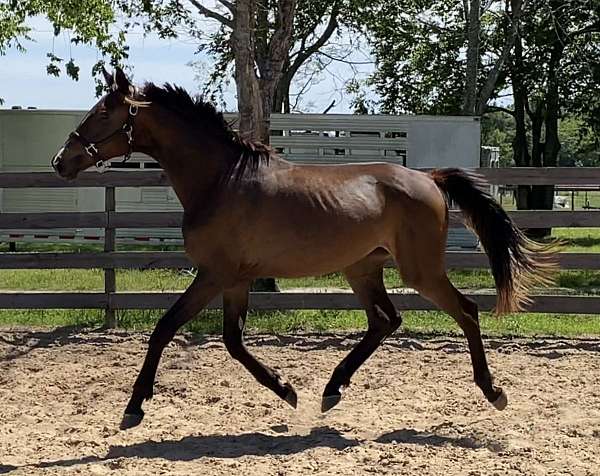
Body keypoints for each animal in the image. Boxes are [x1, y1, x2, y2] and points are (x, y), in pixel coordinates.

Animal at [51, 68, 556, 432]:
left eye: (102, 112)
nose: (61, 161)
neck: (221, 180)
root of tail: (428, 179)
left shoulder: (214, 274)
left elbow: (164, 328)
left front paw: (134, 407)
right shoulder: (234, 279)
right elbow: (232, 341)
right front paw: (287, 390)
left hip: (420, 271)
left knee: (465, 312)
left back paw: (493, 392)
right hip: (362, 269)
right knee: (386, 321)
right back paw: (332, 389)